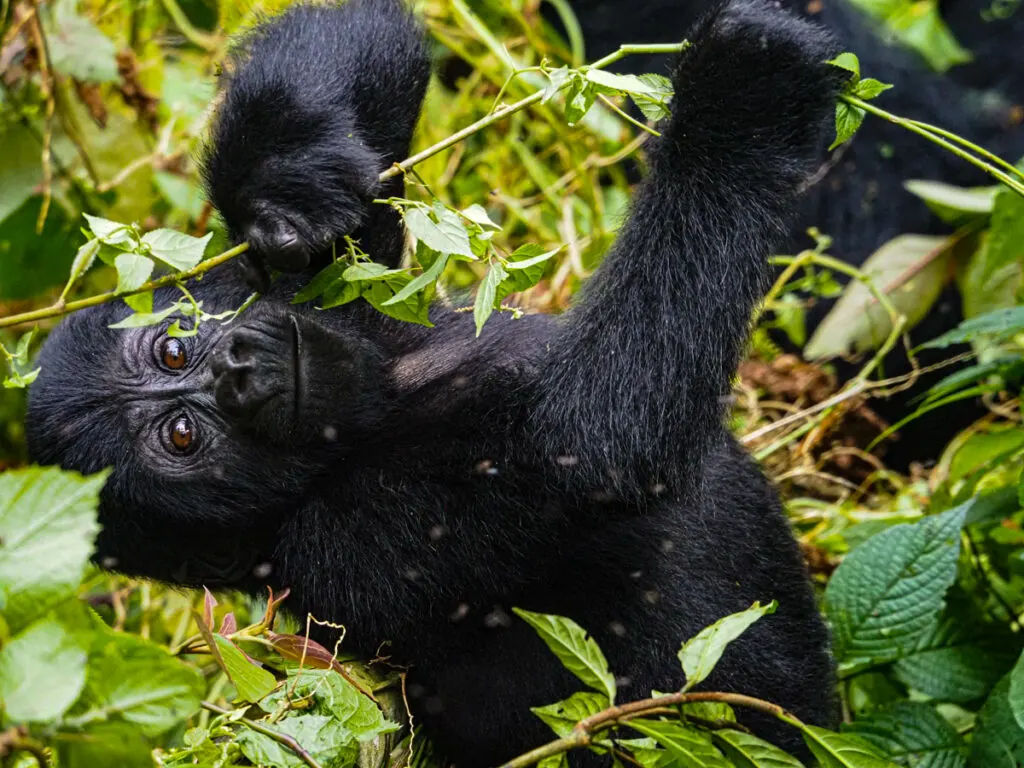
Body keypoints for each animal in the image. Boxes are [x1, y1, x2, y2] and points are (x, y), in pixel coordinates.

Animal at [29, 0, 839, 765]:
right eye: (182, 435)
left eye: (172, 352)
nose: (236, 371)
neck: (384, 394)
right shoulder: (361, 545)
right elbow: (596, 442)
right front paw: (740, 96)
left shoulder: (339, 298)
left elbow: (361, 37)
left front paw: (284, 181)